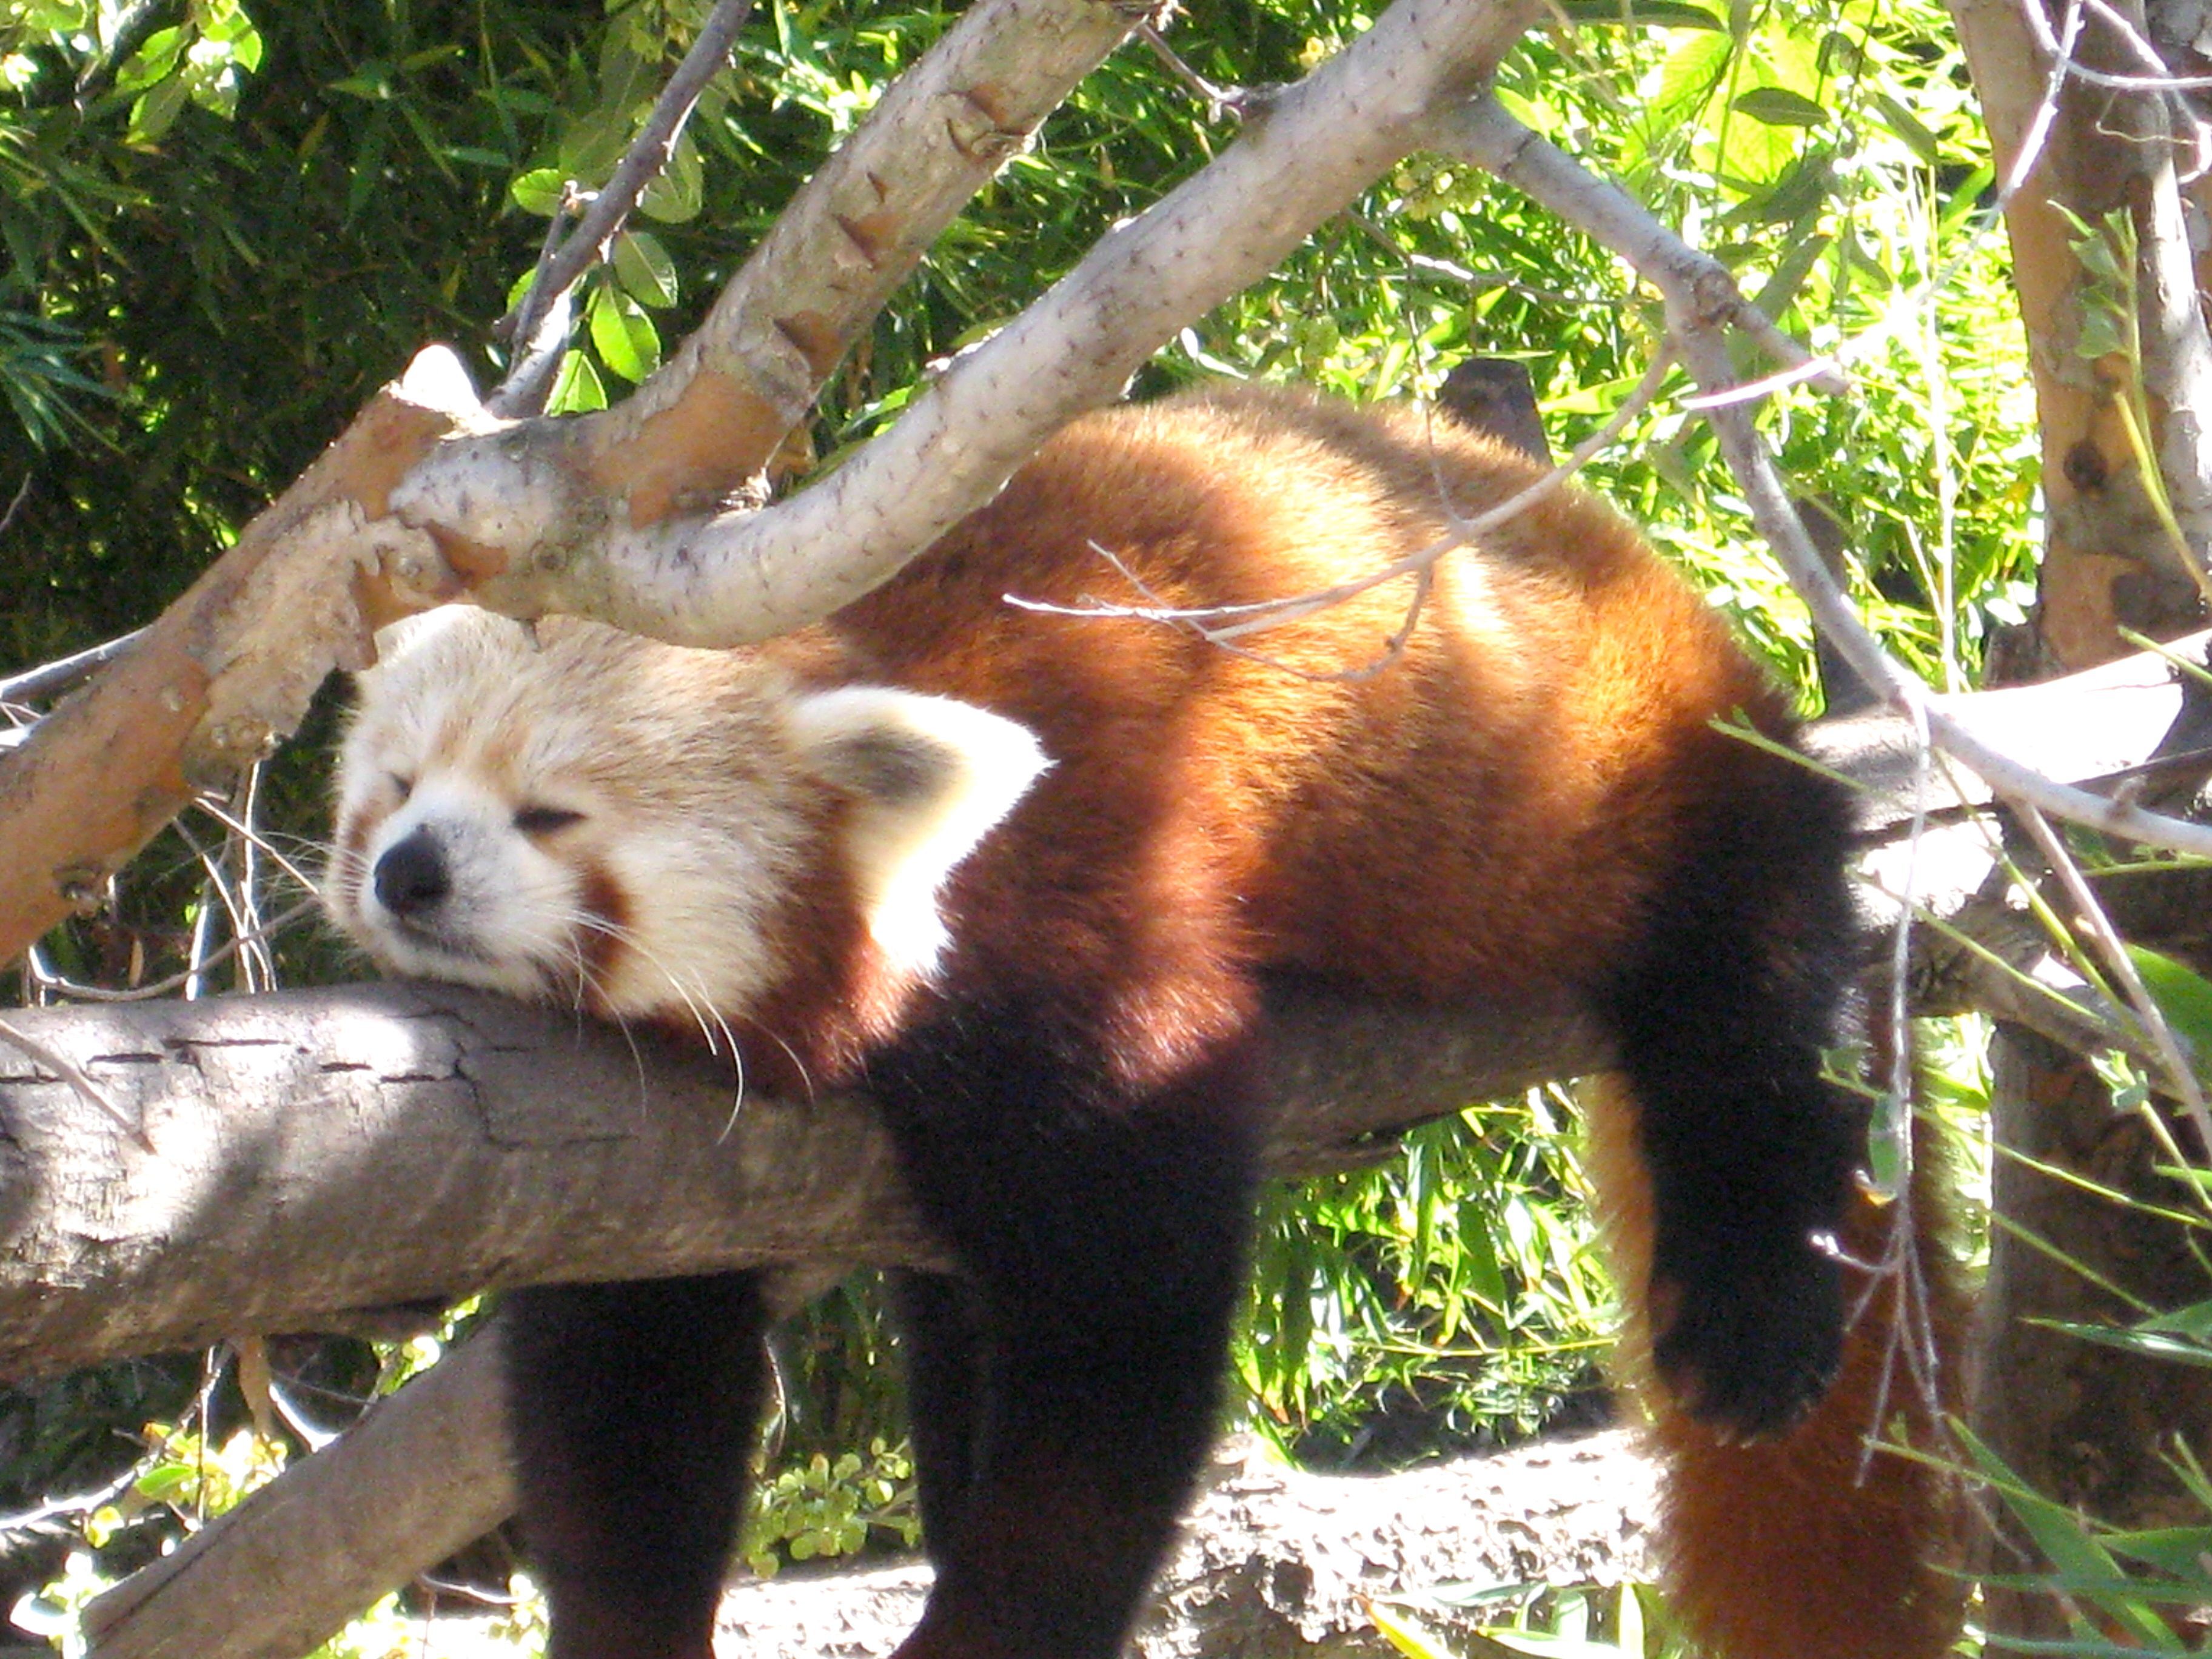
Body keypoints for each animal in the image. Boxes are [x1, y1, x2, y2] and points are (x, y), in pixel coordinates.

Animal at [327, 383, 1955, 1659]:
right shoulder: (654, 1169)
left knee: (1751, 1004)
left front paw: (998, 1624)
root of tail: (1632, 561)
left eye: (550, 812)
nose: (408, 873)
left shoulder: (1089, 917)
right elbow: (631, 1389)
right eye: (394, 786)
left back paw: (1756, 1304)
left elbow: (1123, 1335)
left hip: (1642, 771)